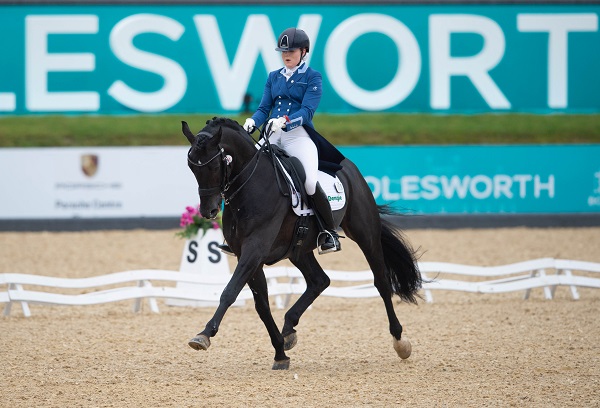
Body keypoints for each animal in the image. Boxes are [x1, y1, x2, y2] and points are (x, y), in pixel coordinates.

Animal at [182, 117, 422, 370]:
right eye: (192, 167)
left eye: (214, 166)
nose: (208, 211)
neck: (252, 186)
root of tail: (349, 167)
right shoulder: (246, 255)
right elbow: (262, 305)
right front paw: (280, 353)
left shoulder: (254, 250)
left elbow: (230, 292)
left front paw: (204, 334)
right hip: (299, 250)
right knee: (320, 280)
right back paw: (289, 328)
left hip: (365, 234)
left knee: (381, 282)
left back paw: (400, 341)